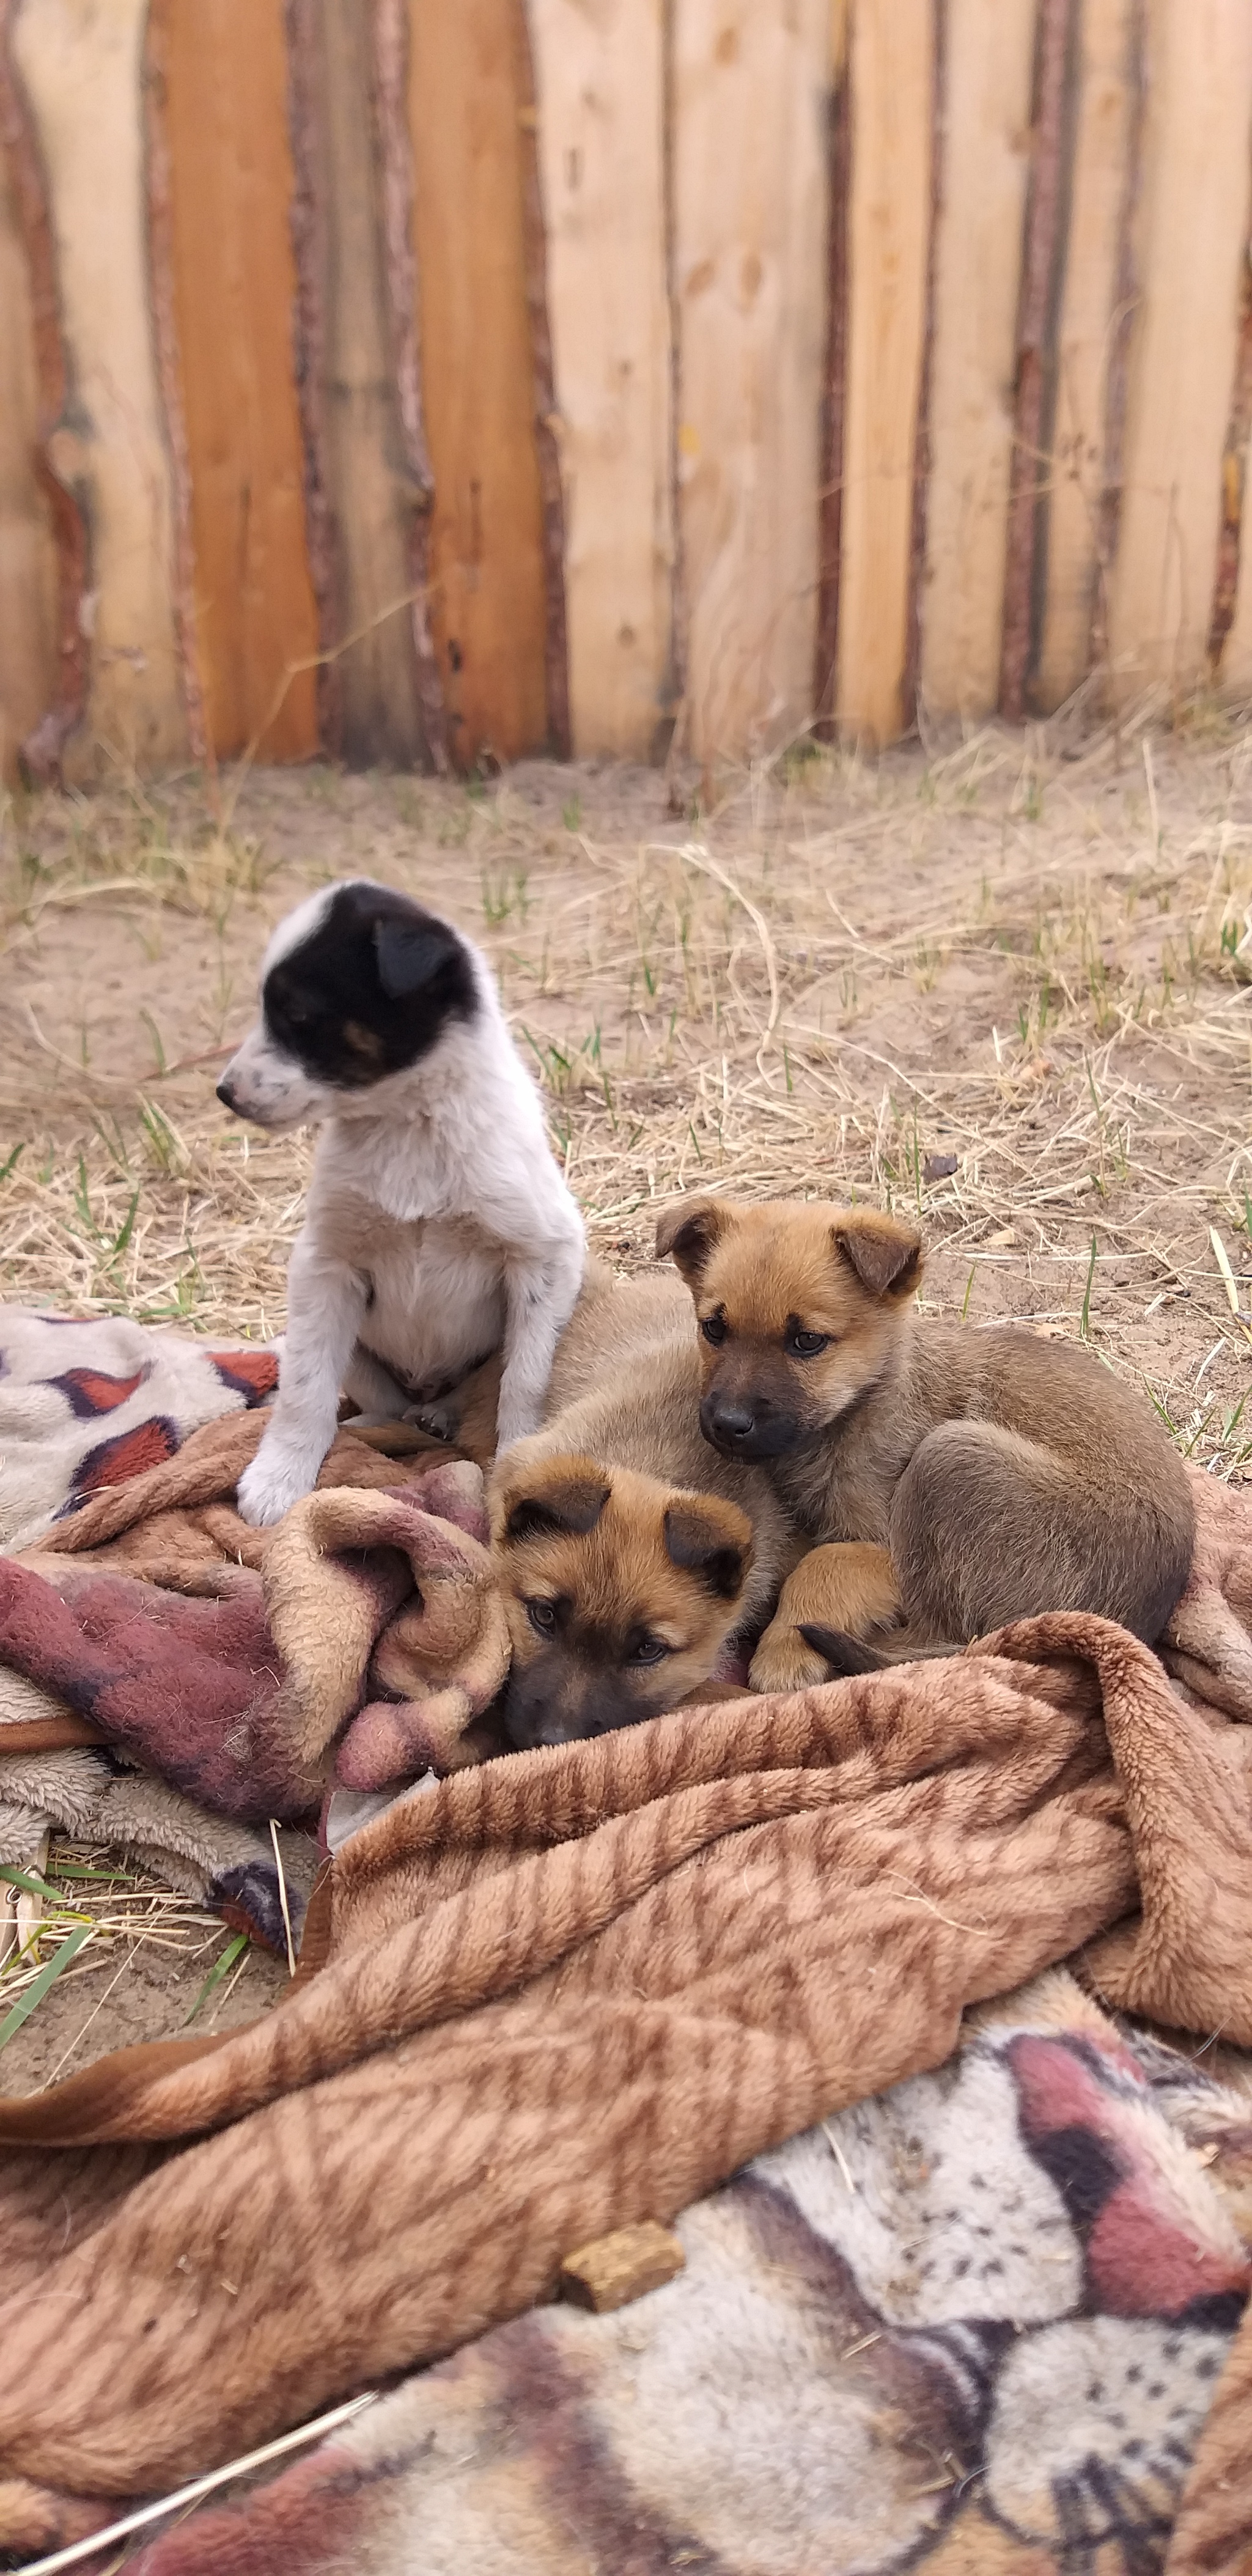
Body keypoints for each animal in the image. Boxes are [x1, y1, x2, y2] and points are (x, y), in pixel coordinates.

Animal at [216, 886, 587, 1525]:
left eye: (299, 1013)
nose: (225, 1092)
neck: (407, 1123)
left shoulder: (545, 1254)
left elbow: (524, 1381)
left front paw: (516, 1456)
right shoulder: (325, 1265)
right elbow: (305, 1390)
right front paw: (278, 1478)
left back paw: (438, 1414)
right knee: (380, 1403)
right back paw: (374, 1425)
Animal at [654, 1200, 1195, 1700]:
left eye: (807, 1341)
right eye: (714, 1329)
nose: (727, 1424)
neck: (862, 1407)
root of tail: (1131, 1621)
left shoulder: (888, 1552)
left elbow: (825, 1563)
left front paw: (785, 1650)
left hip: (950, 1455)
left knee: (943, 1639)